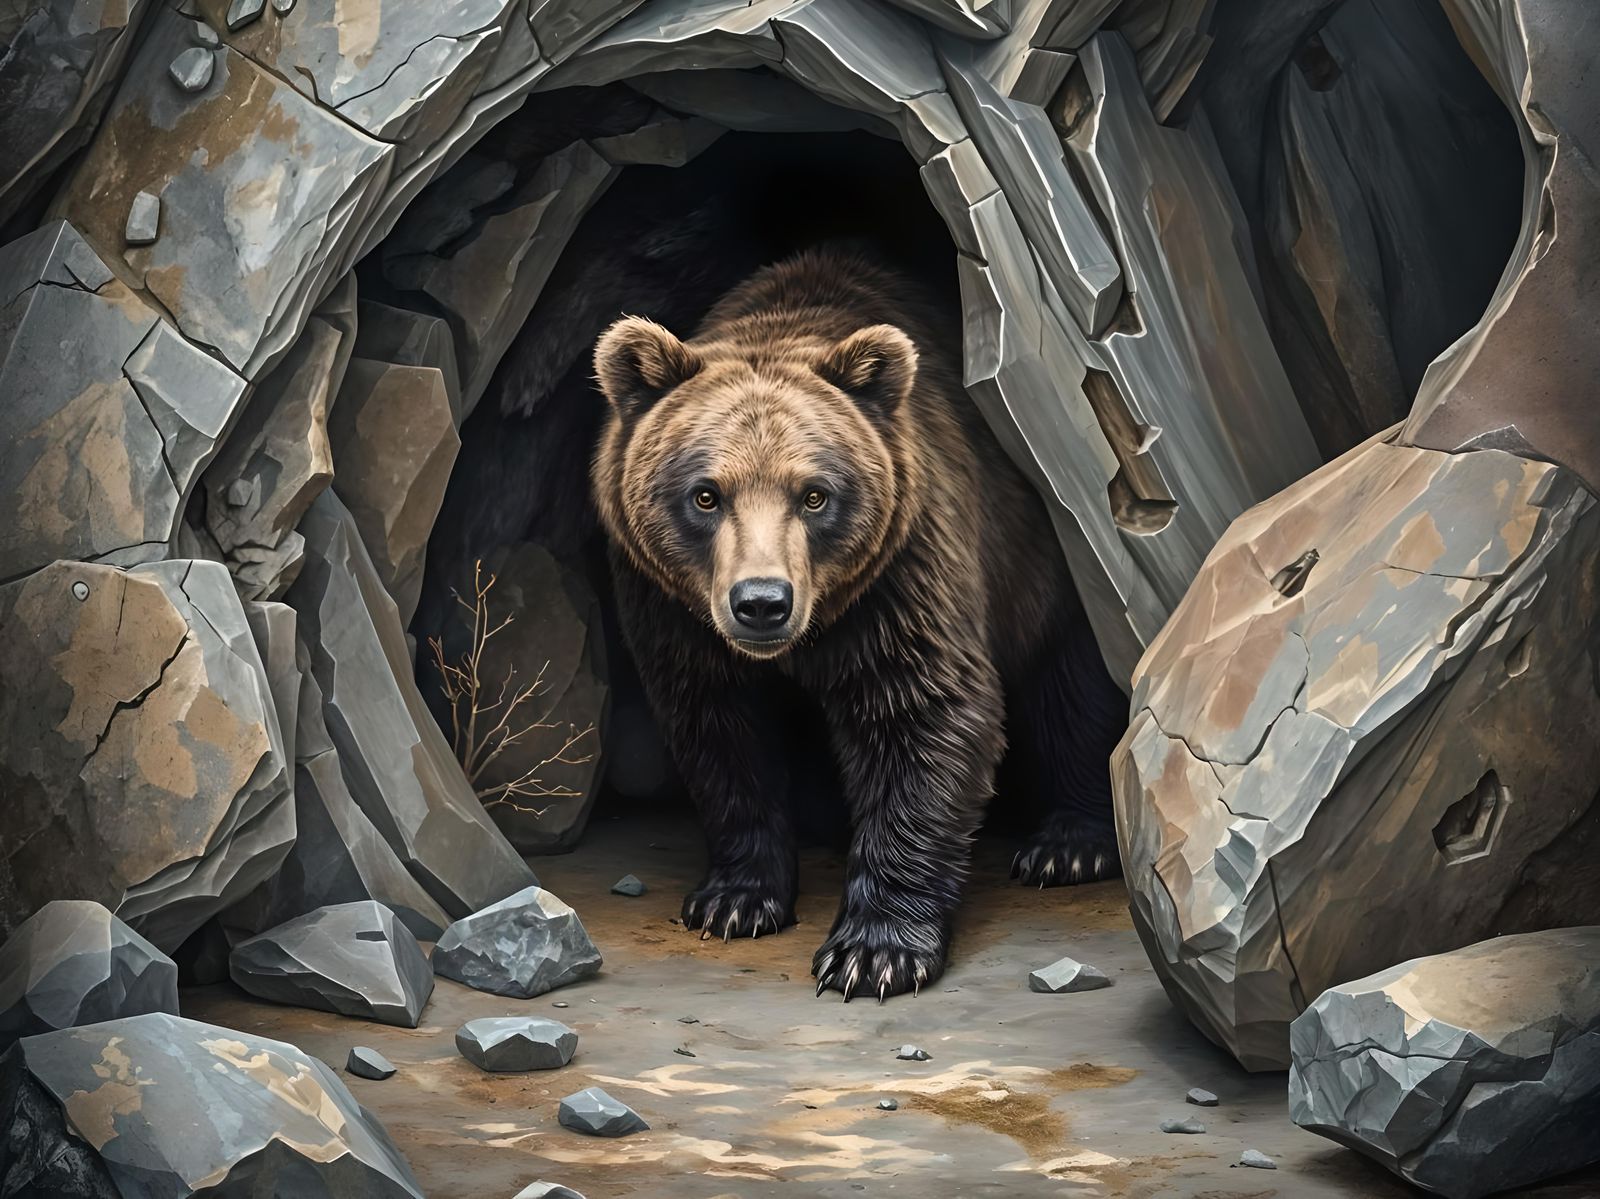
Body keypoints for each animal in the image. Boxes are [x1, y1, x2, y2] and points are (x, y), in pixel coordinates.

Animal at [590, 246, 1126, 1000]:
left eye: (814, 494)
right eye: (706, 494)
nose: (762, 602)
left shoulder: (901, 575)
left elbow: (921, 715)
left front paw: (873, 953)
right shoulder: (670, 609)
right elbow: (720, 731)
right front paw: (734, 899)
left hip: (1051, 557)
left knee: (1071, 687)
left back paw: (1068, 845)